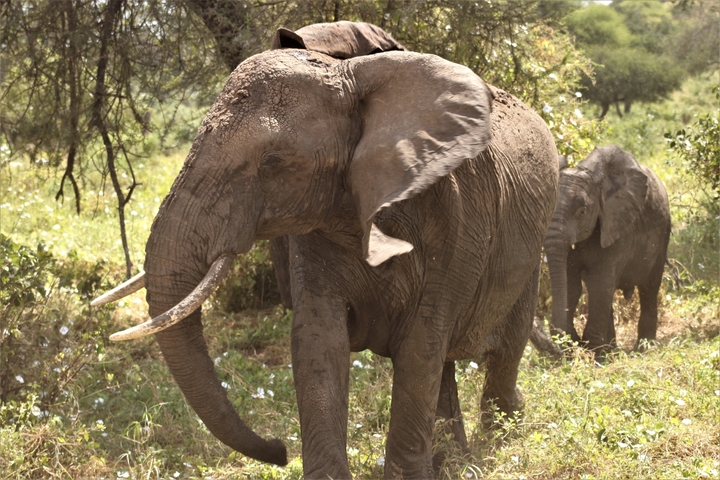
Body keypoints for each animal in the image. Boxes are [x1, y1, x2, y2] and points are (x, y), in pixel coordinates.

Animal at [92, 21, 559, 478]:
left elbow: (419, 344)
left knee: (503, 348)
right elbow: (318, 341)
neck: (351, 81)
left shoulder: (452, 220)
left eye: (273, 162)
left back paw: (501, 433)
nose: (279, 450)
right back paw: (453, 459)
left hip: (529, 242)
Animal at [544, 145, 671, 357]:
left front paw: (595, 352)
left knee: (649, 287)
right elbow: (573, 283)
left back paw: (642, 349)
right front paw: (594, 350)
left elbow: (599, 282)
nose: (576, 343)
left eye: (582, 212)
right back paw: (613, 351)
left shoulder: (619, 227)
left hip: (663, 235)